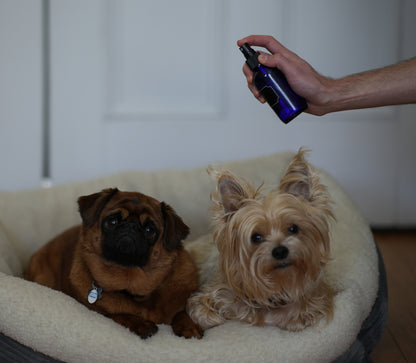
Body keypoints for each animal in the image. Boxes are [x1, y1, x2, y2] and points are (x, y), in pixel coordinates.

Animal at [24, 189, 203, 340]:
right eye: (113, 221)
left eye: (149, 230)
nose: (131, 227)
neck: (131, 284)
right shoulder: (98, 312)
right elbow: (117, 315)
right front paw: (141, 324)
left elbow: (181, 312)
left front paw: (189, 326)